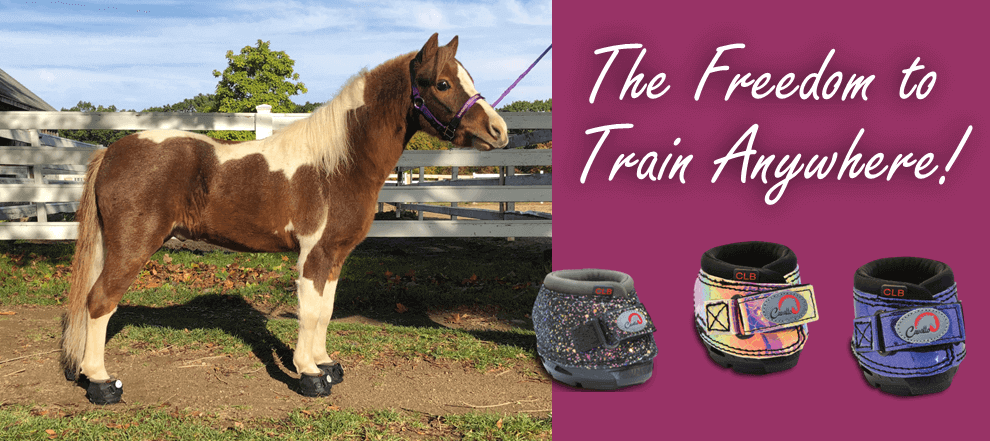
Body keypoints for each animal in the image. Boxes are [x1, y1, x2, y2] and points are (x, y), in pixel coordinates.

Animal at [60, 33, 509, 404]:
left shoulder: (334, 257)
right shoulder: (314, 253)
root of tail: (112, 152)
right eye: (442, 83)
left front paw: (327, 364)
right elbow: (309, 312)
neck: (337, 164)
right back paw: (101, 383)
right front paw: (309, 375)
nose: (498, 131)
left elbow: (325, 310)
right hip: (133, 246)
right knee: (100, 302)